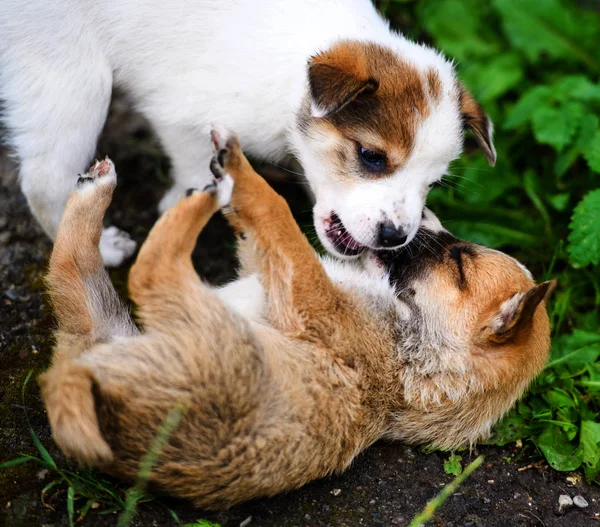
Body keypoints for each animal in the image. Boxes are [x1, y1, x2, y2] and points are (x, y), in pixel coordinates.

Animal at [0, 0, 492, 264]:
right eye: (372, 157)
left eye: (434, 183)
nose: (395, 238)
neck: (291, 77)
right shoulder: (182, 114)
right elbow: (193, 168)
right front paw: (182, 204)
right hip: (72, 75)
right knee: (46, 179)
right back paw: (98, 248)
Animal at [39, 126, 556, 510]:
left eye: (459, 262)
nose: (421, 216)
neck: (417, 357)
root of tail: (75, 380)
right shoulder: (265, 270)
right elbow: (260, 233)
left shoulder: (310, 298)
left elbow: (278, 214)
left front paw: (237, 168)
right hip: (96, 317)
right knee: (69, 264)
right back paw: (98, 189)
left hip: (216, 335)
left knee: (150, 271)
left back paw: (201, 196)